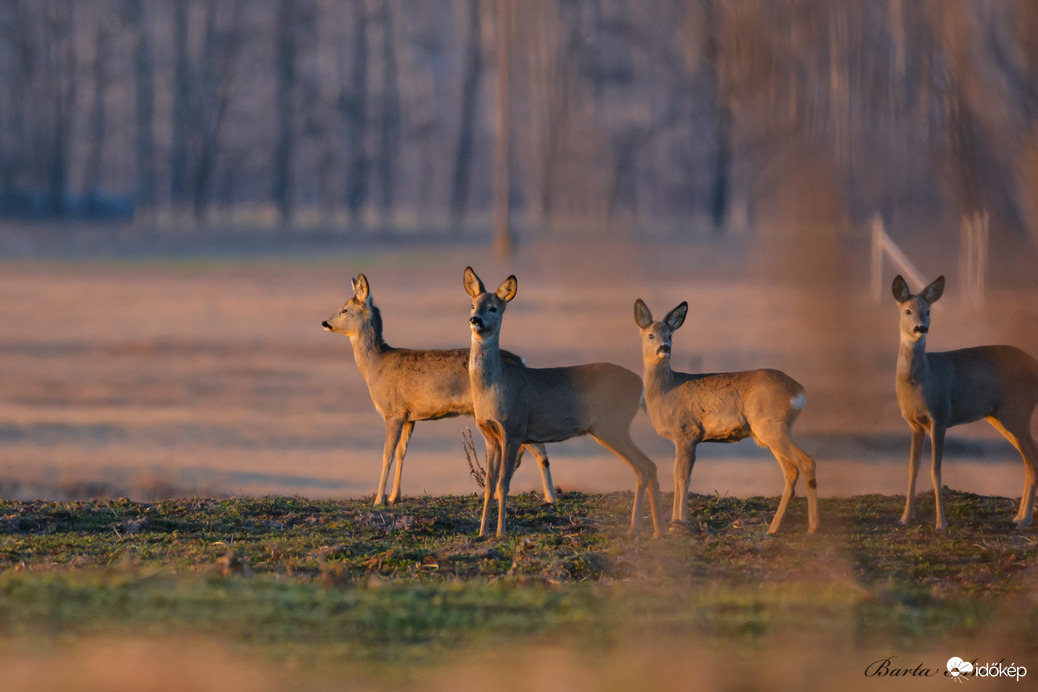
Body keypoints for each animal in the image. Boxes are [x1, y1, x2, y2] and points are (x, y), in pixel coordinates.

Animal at [321, 273, 560, 506]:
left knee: (539, 449)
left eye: (344, 309)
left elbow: (386, 455)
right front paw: (394, 496)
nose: (325, 322)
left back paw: (550, 496)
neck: (376, 366)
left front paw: (379, 499)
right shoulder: (409, 416)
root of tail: (522, 361)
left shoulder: (393, 412)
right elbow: (401, 453)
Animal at [462, 267, 664, 539]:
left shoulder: (514, 429)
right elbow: (489, 485)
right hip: (608, 429)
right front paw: (483, 532)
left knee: (646, 466)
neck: (496, 384)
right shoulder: (489, 435)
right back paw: (644, 530)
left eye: (493, 307)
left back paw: (653, 530)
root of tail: (641, 386)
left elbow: (504, 484)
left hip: (613, 425)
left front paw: (501, 532)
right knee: (644, 467)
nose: (476, 320)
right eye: (472, 304)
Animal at [631, 298, 817, 535]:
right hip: (771, 432)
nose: (664, 348)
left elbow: (682, 477)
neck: (666, 391)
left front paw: (678, 522)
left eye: (670, 335)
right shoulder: (683, 439)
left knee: (807, 462)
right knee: (791, 472)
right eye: (650, 335)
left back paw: (812, 528)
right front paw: (677, 520)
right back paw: (773, 529)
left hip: (772, 427)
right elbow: (678, 476)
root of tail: (799, 390)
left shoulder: (687, 434)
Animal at [892, 273, 1038, 531]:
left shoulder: (939, 416)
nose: (921, 327)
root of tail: (1036, 365)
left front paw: (941, 523)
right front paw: (905, 518)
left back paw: (1025, 520)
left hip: (1018, 411)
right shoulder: (914, 424)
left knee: (1032, 459)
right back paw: (1019, 516)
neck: (921, 380)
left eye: (928, 311)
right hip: (1000, 417)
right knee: (1029, 459)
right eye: (908, 311)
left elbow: (936, 470)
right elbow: (912, 468)